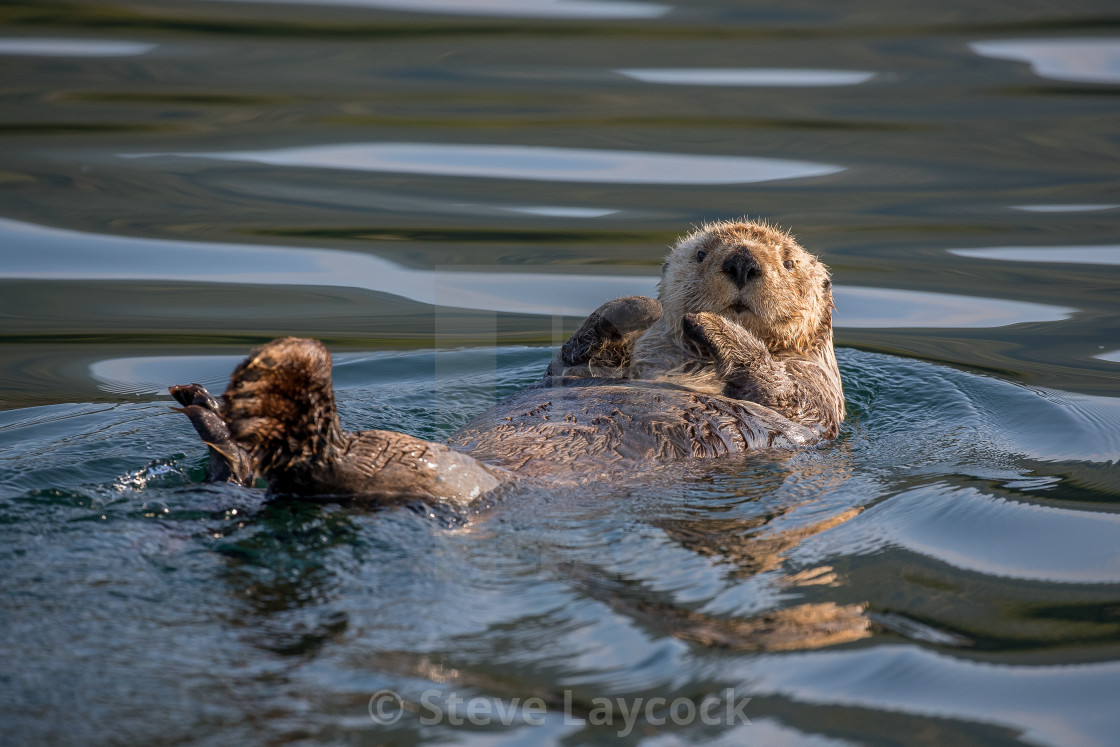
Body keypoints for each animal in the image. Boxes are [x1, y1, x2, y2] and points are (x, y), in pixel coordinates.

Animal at [172, 219, 842, 506]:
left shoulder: (816, 392)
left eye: (786, 260)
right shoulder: (592, 366)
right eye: (702, 252)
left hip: (429, 471)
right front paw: (630, 311)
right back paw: (226, 424)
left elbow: (781, 388)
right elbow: (583, 358)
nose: (742, 261)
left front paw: (714, 326)